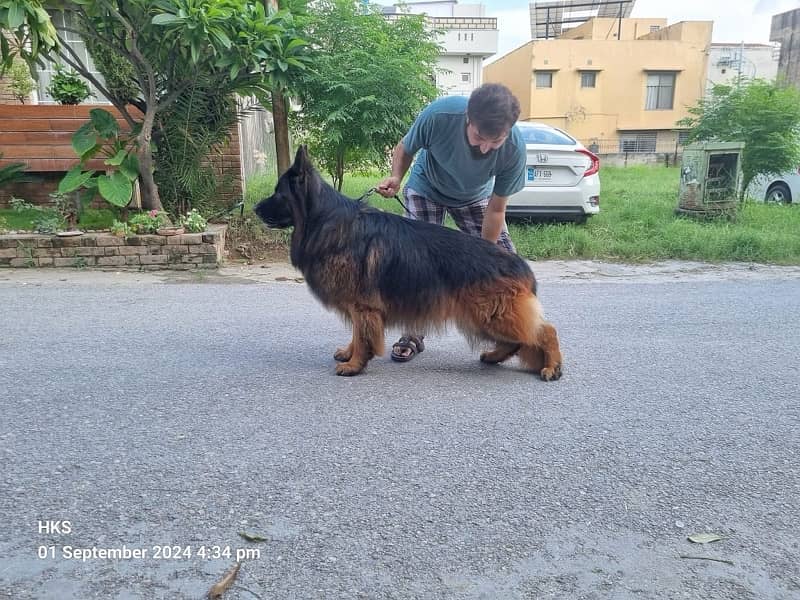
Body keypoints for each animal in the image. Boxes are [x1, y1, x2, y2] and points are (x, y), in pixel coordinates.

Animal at [256, 146, 564, 380]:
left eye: (278, 193)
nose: (255, 208)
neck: (326, 221)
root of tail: (521, 266)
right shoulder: (359, 306)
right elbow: (357, 334)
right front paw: (349, 354)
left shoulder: (362, 306)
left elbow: (363, 336)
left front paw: (355, 364)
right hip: (485, 317)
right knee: (519, 341)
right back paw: (494, 356)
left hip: (491, 314)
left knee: (544, 331)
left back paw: (551, 366)